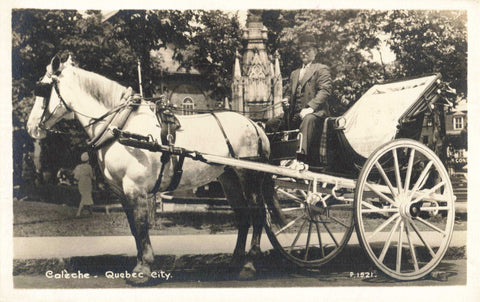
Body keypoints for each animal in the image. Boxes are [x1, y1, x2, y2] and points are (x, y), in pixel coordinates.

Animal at [26, 54, 274, 284]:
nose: (31, 127)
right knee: (243, 215)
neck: (121, 126)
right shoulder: (122, 192)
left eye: (43, 88)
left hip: (248, 175)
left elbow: (142, 226)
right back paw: (235, 261)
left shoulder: (135, 188)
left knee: (258, 213)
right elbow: (135, 228)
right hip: (229, 177)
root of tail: (254, 125)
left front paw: (143, 269)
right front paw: (140, 264)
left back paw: (249, 265)